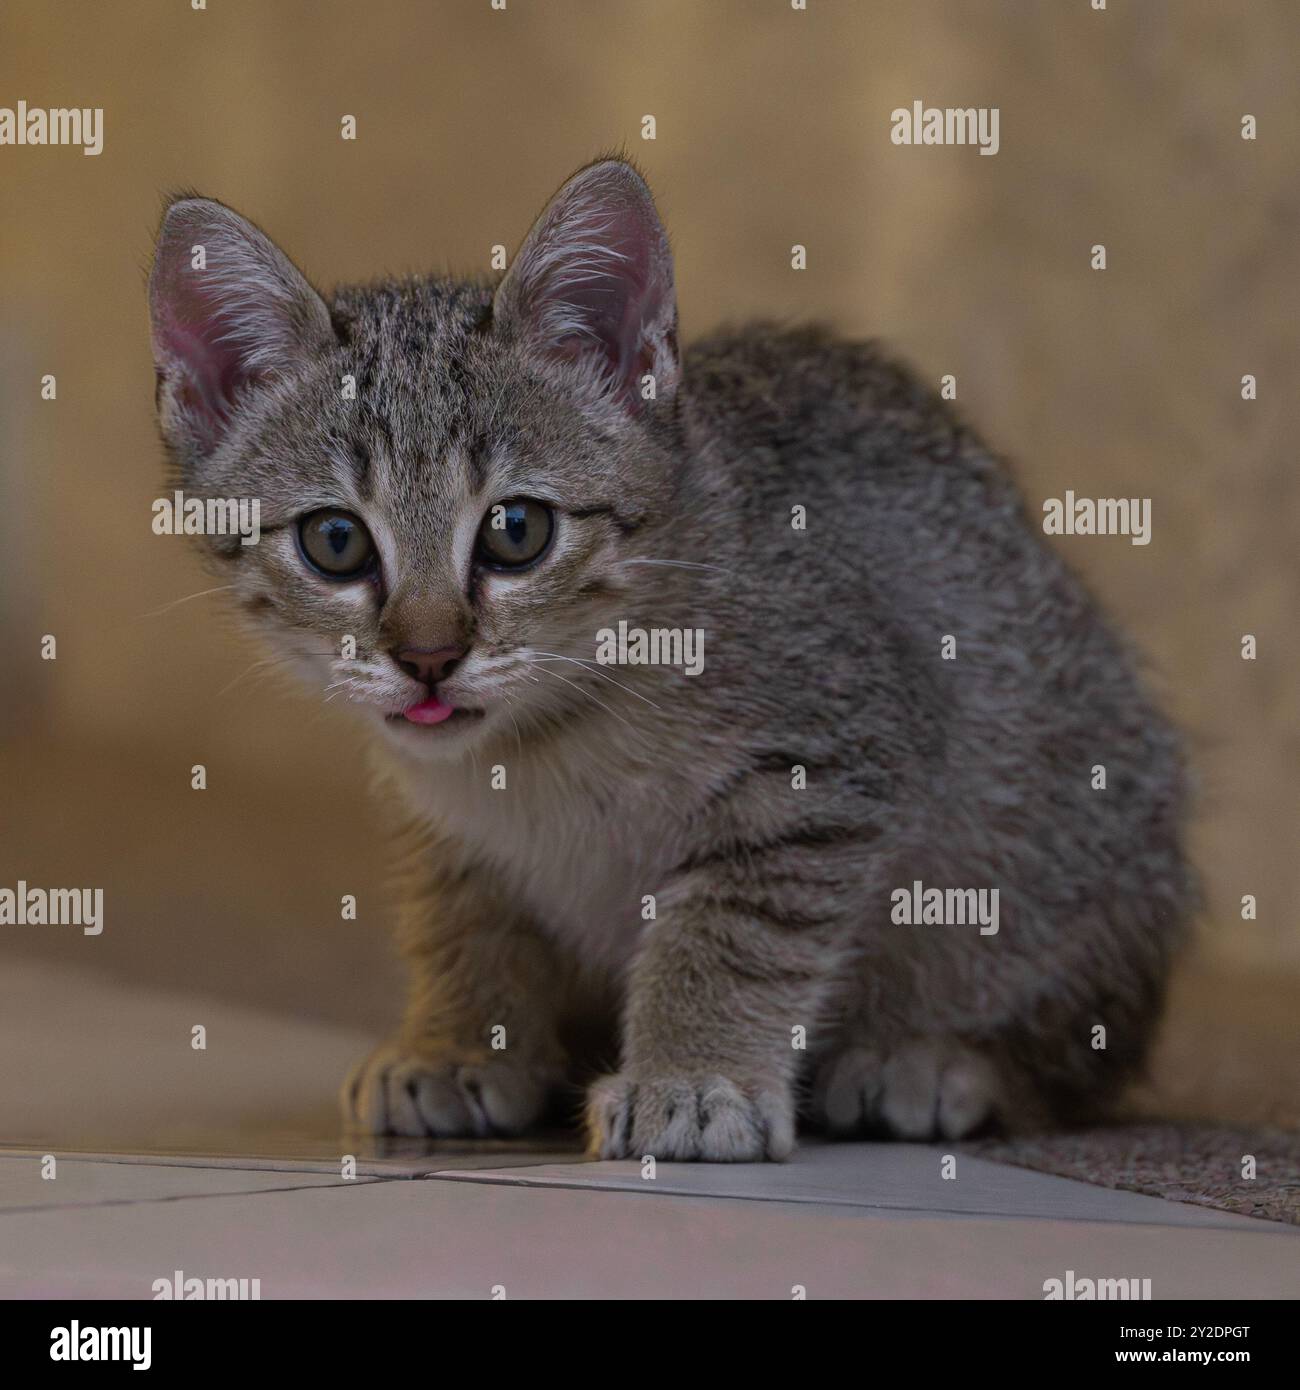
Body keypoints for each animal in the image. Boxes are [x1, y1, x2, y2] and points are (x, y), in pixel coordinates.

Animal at [147, 159, 1195, 1162]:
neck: (545, 740)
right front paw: (460, 1042)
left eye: (517, 531)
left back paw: (939, 1060)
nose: (430, 657)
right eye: (335, 542)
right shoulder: (442, 816)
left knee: (1079, 1044)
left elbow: (731, 933)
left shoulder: (823, 763)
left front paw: (694, 1076)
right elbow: (460, 917)